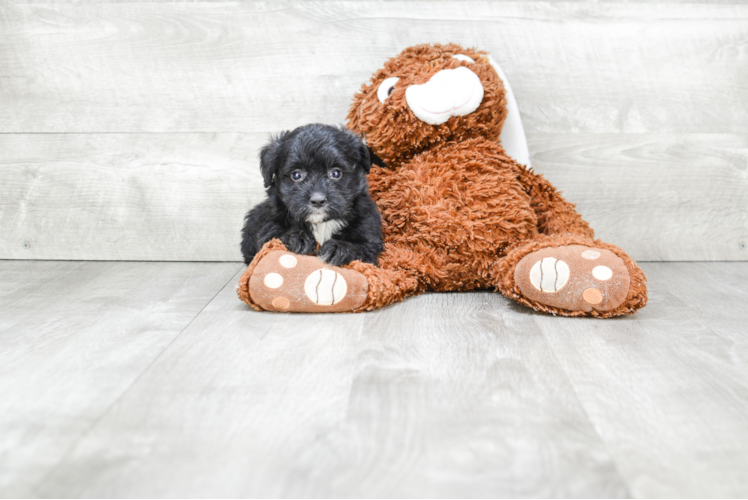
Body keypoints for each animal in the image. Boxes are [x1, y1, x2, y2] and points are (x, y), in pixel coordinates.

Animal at [241, 123, 382, 268]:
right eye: (296, 175)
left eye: (336, 173)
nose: (318, 200)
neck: (321, 223)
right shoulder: (269, 224)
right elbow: (275, 236)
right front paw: (296, 238)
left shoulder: (368, 233)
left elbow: (362, 249)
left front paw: (339, 248)